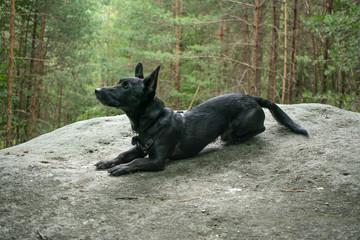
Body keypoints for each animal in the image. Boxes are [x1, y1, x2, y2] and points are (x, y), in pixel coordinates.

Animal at [94, 63, 308, 176]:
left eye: (126, 87)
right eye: (119, 82)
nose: (97, 90)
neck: (154, 122)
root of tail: (251, 97)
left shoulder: (157, 160)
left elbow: (136, 162)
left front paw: (121, 168)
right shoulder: (139, 148)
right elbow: (123, 154)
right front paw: (108, 161)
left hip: (241, 123)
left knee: (260, 129)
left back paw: (237, 139)